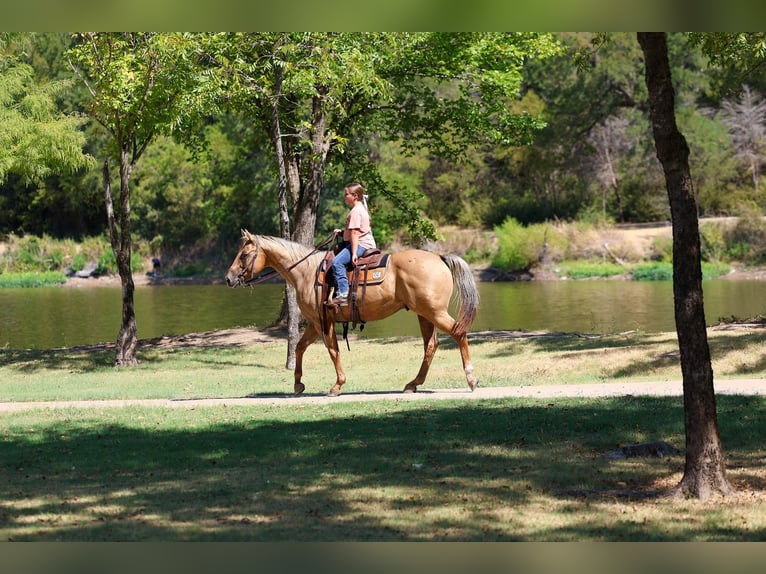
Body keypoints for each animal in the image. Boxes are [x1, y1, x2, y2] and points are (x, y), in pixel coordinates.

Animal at [225, 230, 479, 397]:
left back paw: (471, 378)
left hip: (433, 312)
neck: (306, 272)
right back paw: (413, 384)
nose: (228, 278)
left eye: (244, 255)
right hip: (424, 314)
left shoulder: (323, 322)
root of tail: (438, 257)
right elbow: (299, 347)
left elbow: (333, 351)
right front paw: (298, 385)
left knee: (458, 333)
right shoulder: (314, 322)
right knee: (431, 345)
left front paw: (337, 386)